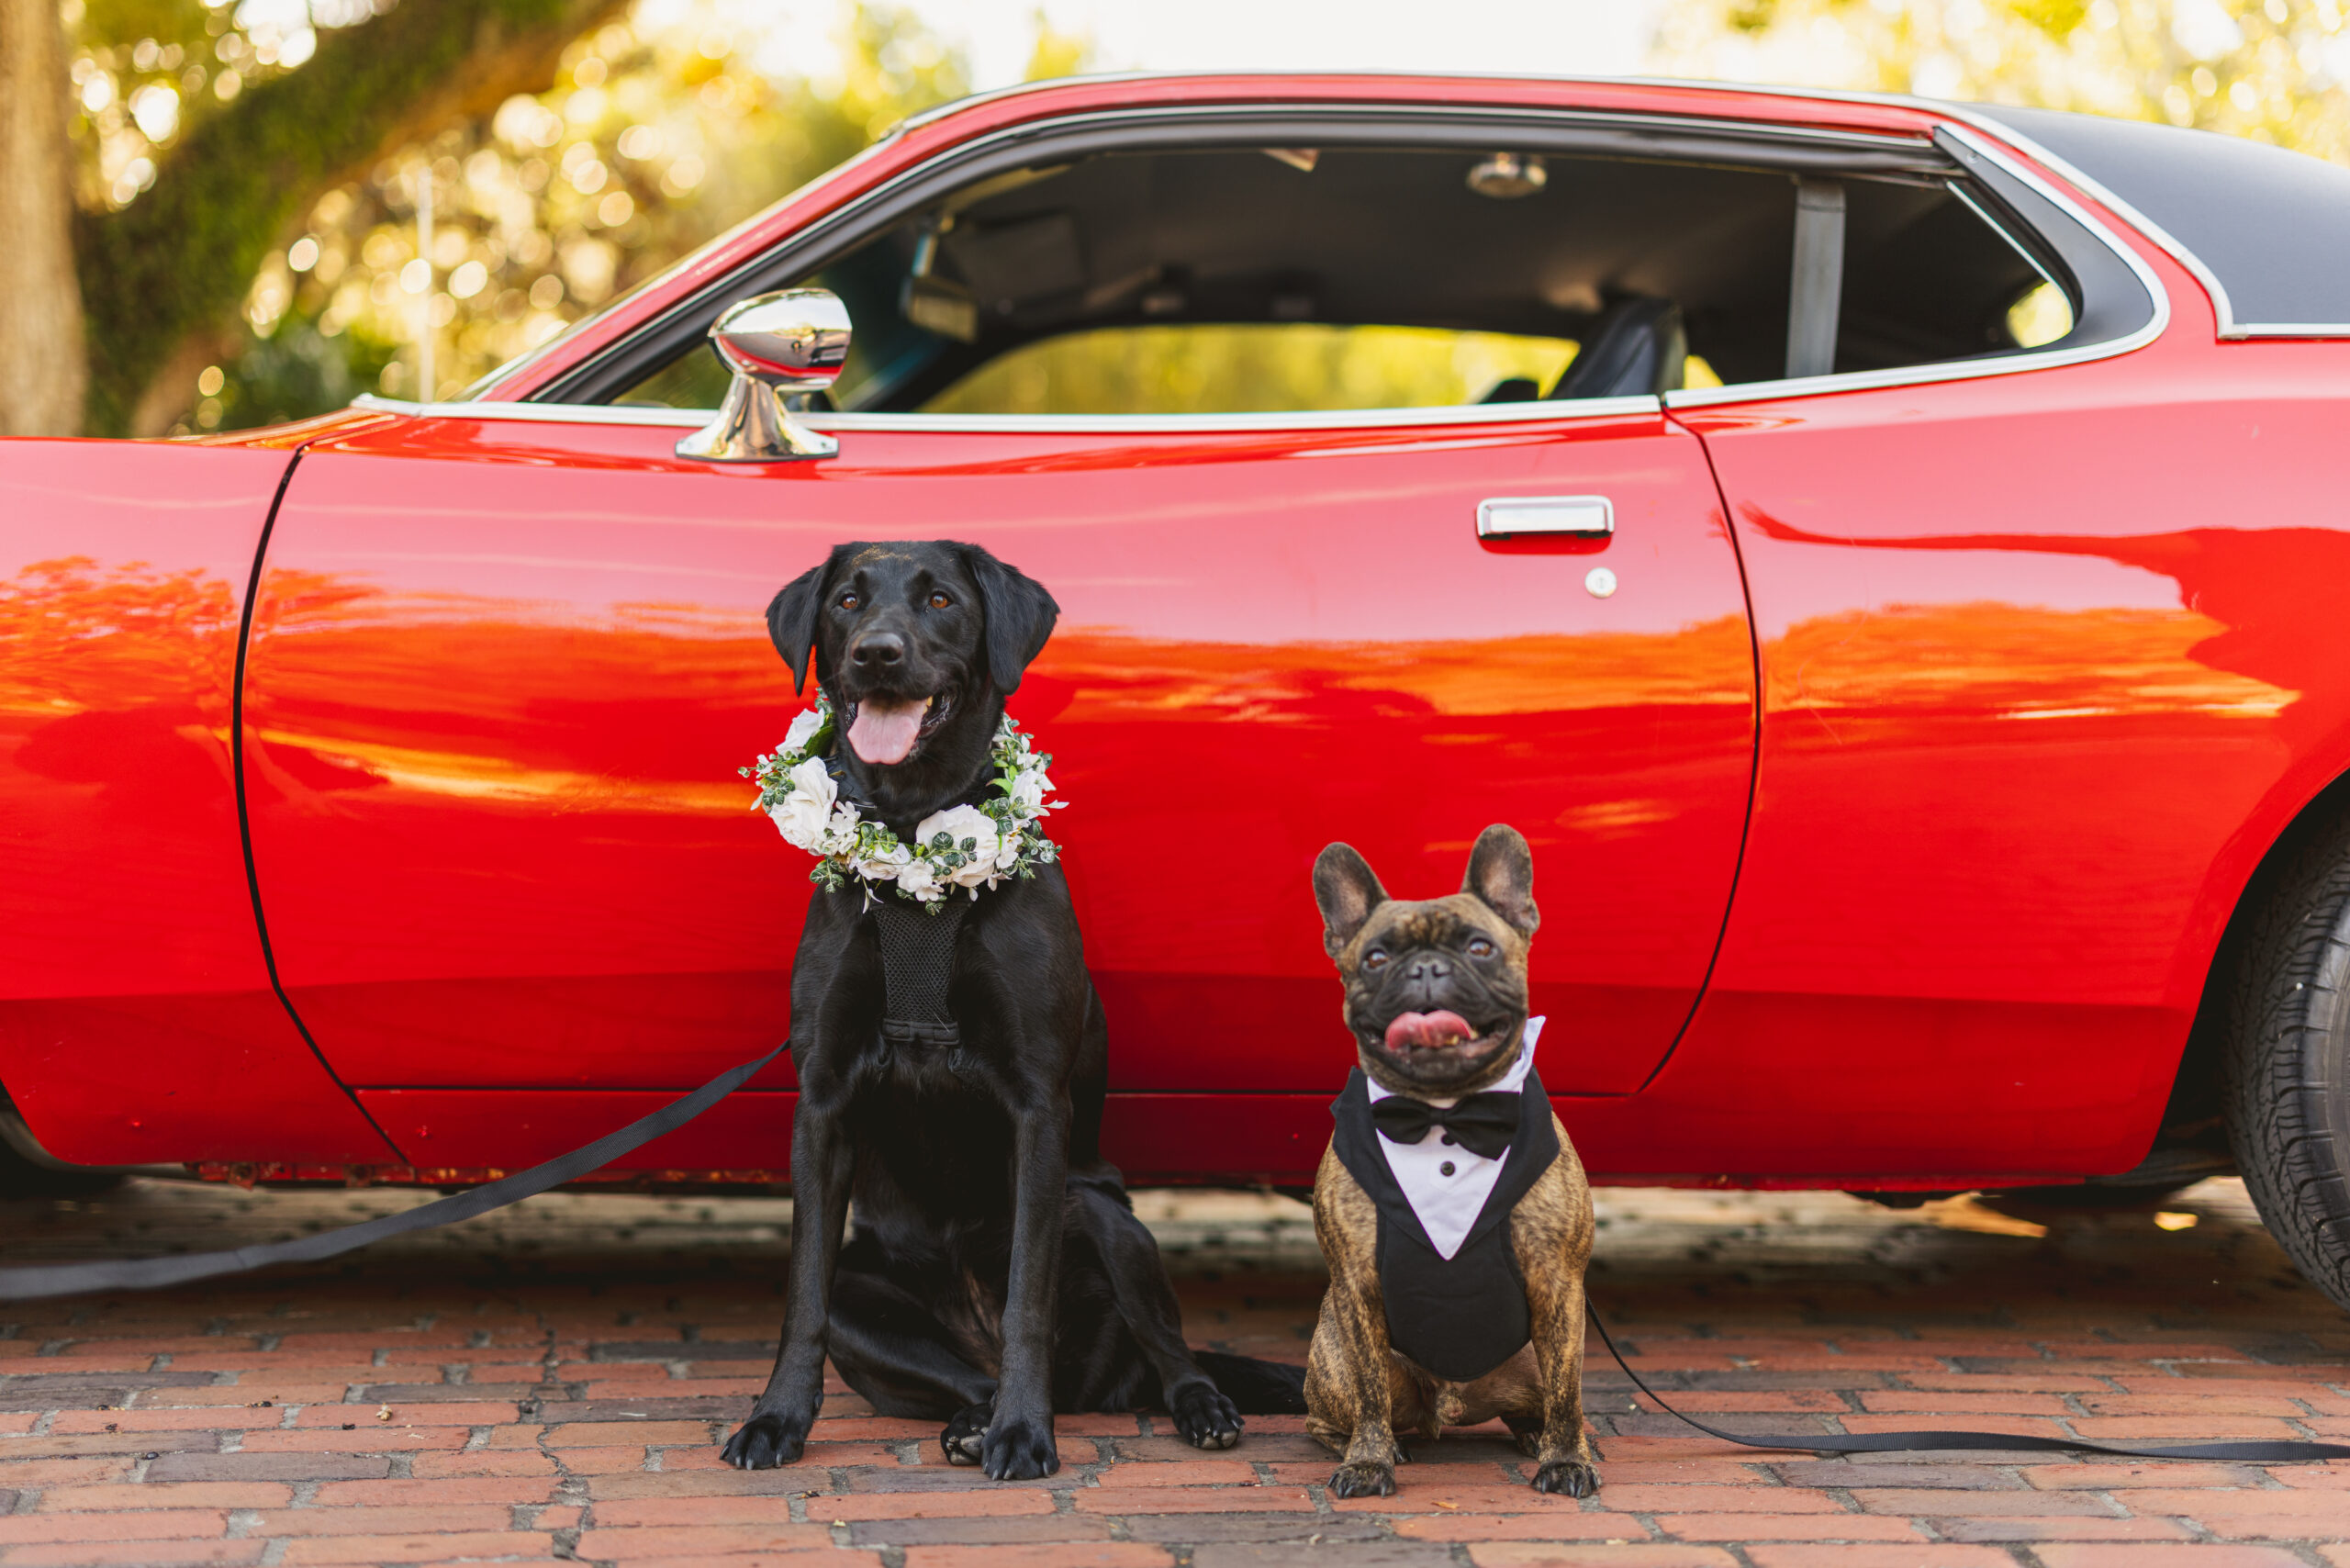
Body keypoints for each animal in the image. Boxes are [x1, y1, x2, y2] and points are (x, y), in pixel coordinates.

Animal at [721, 539, 1302, 1481]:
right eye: (847, 601)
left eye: (942, 601)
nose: (875, 654)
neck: (916, 840)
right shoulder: (823, 1102)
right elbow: (800, 1296)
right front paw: (775, 1420)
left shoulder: (1037, 1108)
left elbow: (1030, 1293)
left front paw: (1026, 1435)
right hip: (867, 1292)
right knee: (959, 1373)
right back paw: (972, 1420)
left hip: (1106, 1218)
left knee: (1165, 1351)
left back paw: (1185, 1407)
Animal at [1303, 824, 1600, 1498]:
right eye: (1375, 959)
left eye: (1480, 947)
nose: (1427, 968)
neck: (1445, 1112)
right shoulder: (1357, 1289)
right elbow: (1368, 1398)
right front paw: (1368, 1463)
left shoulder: (1558, 1283)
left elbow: (1568, 1396)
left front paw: (1566, 1461)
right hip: (1336, 1357)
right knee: (1341, 1412)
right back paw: (1378, 1446)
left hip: (1533, 1356)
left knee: (1547, 1400)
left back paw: (1537, 1437)